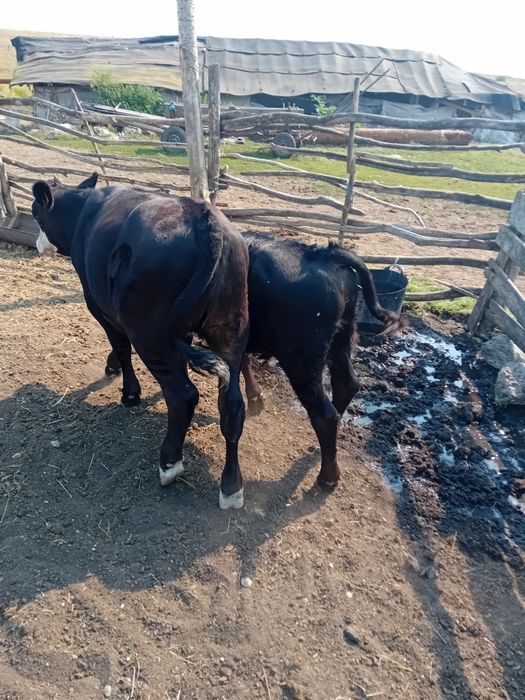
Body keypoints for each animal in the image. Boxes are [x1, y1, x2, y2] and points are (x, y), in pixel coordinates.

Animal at [31, 173, 249, 510]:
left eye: (36, 215)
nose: (36, 244)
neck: (84, 213)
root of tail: (204, 217)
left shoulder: (98, 304)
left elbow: (120, 346)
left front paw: (129, 392)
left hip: (149, 333)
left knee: (182, 395)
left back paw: (169, 464)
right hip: (230, 331)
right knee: (232, 405)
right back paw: (231, 486)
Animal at [240, 231, 407, 491]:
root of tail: (321, 254)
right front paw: (255, 397)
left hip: (301, 361)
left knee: (325, 414)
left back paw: (328, 476)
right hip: (343, 338)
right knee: (347, 386)